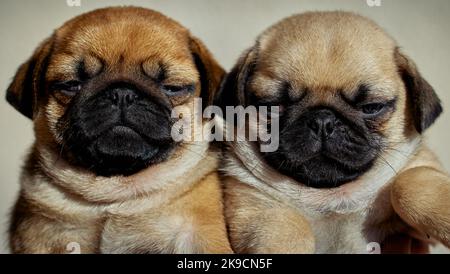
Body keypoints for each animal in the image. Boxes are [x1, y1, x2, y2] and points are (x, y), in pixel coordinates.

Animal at [219, 11, 450, 254]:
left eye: (371, 107)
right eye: (274, 105)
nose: (323, 120)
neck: (332, 197)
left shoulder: (419, 168)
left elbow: (410, 184)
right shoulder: (259, 207)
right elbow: (288, 229)